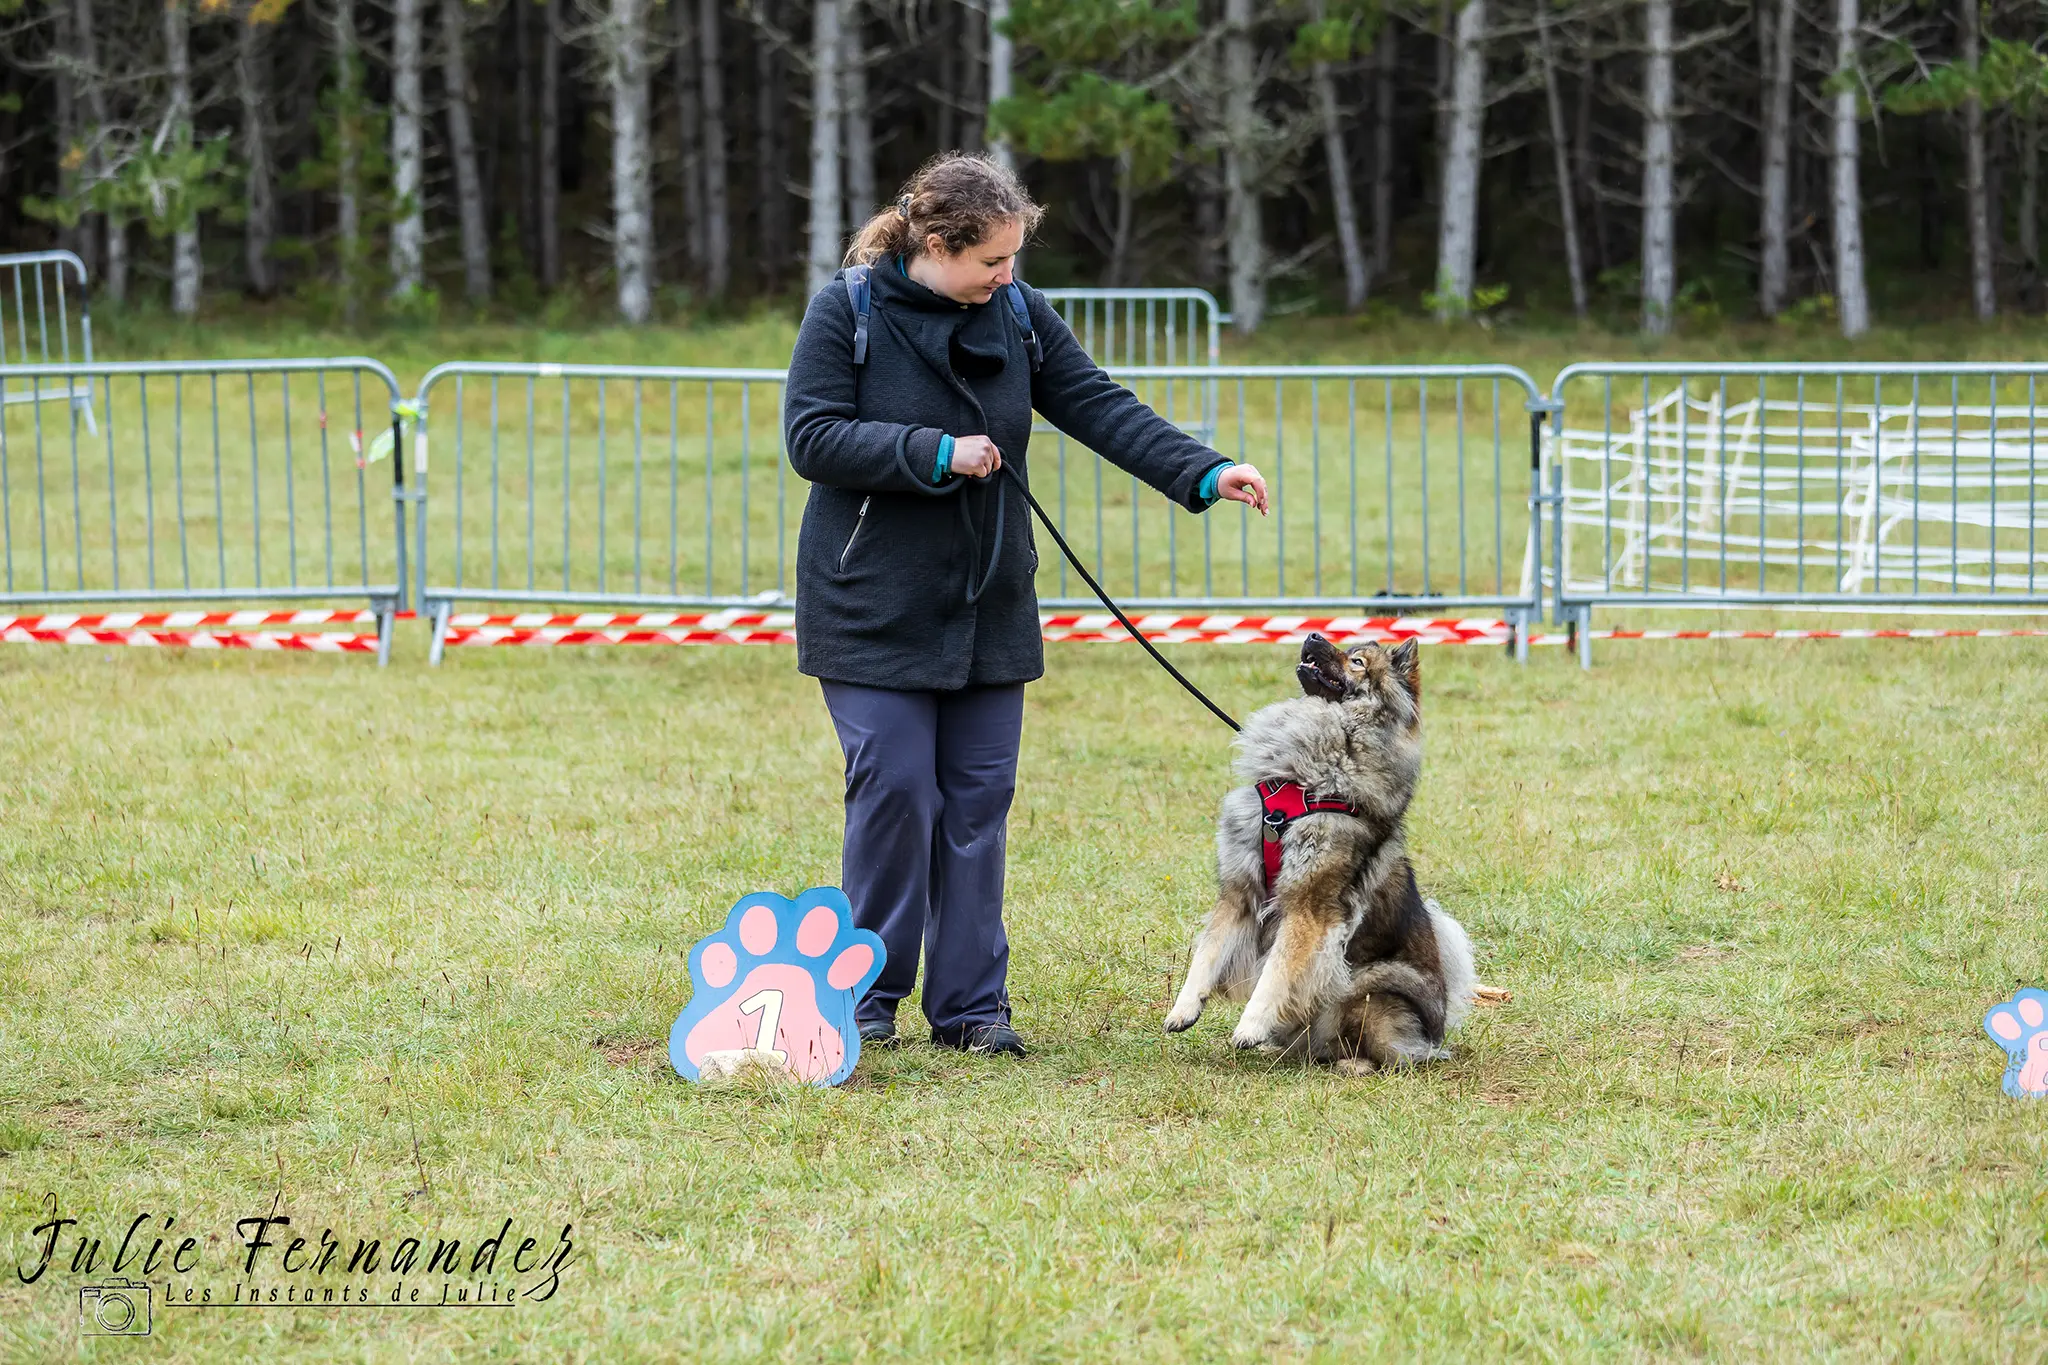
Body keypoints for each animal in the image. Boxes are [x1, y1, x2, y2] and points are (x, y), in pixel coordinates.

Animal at [1171, 634, 1474, 1072]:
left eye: (1358, 661)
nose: (1313, 636)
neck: (1300, 782)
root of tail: (1436, 1028)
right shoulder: (1239, 894)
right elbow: (1207, 954)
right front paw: (1182, 1010)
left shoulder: (1308, 906)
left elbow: (1276, 971)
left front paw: (1249, 1027)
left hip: (1365, 984)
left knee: (1389, 1054)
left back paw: (1352, 1064)